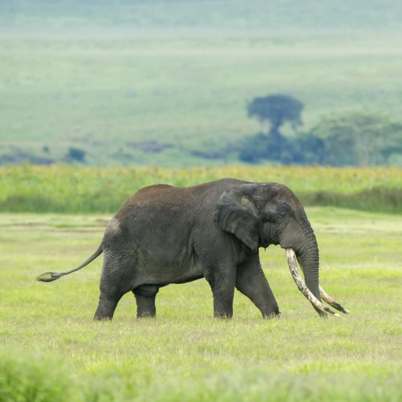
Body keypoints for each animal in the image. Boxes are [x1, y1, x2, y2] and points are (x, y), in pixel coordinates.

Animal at [36, 177, 348, 318]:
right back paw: (102, 322)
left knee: (146, 293)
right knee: (111, 291)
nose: (335, 312)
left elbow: (251, 279)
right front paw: (223, 321)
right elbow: (224, 278)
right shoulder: (212, 233)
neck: (250, 186)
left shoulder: (243, 236)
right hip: (121, 248)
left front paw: (272, 318)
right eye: (280, 217)